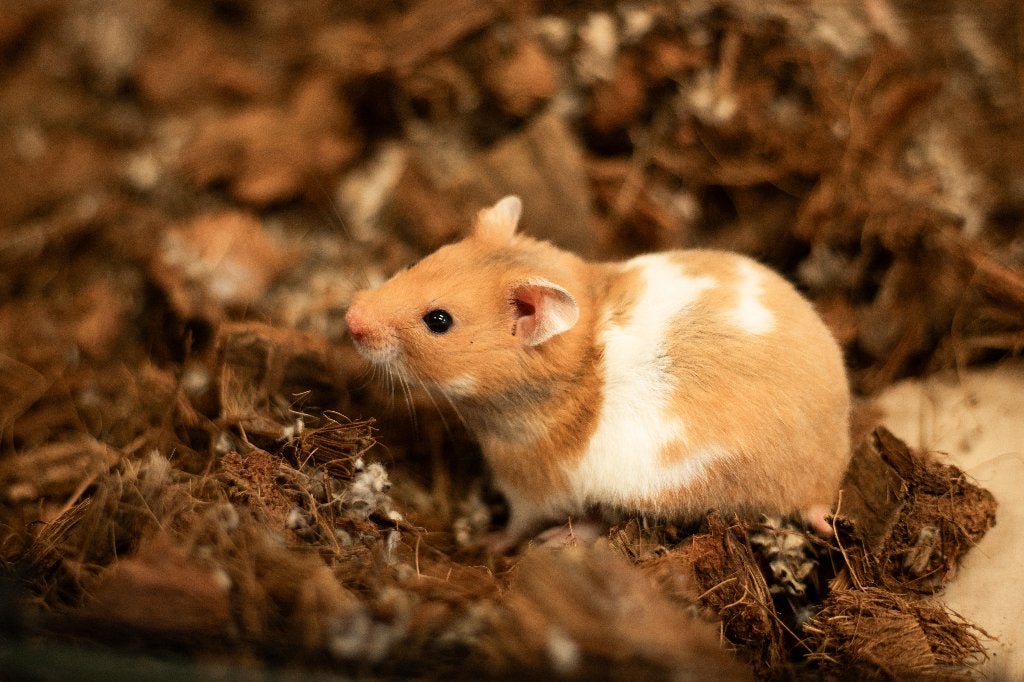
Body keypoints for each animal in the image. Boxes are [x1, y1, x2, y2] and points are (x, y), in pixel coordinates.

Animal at [345, 196, 851, 548]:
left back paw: (557, 541)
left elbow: (516, 524)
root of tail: (824, 485)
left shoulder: (529, 487)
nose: (350, 318)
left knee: (603, 520)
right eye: (420, 261)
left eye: (439, 321)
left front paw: (485, 544)